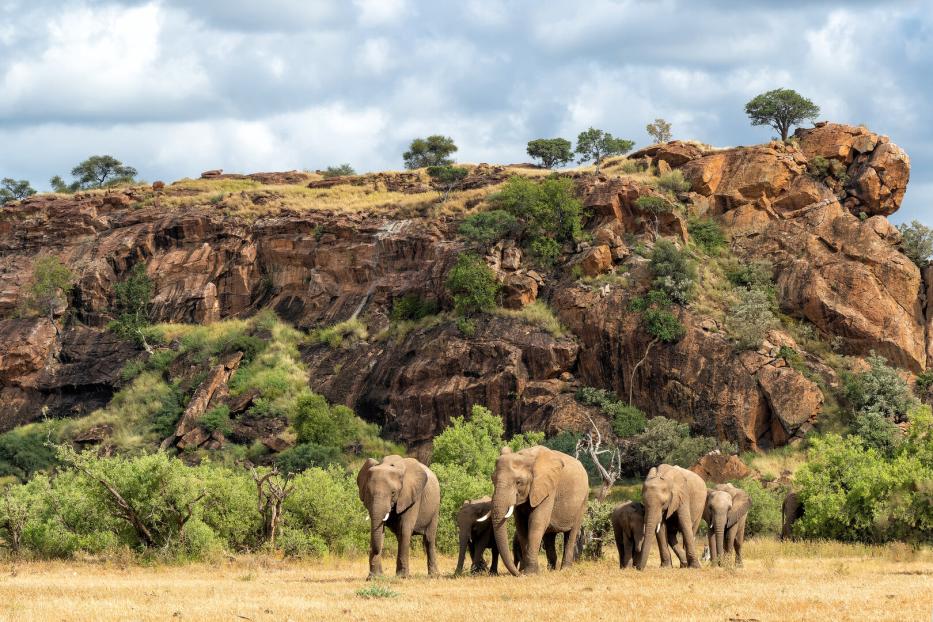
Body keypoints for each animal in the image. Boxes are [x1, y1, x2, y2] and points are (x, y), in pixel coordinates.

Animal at [484, 445, 589, 576]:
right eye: (493, 479)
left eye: (519, 482)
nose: (518, 574)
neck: (526, 456)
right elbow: (521, 526)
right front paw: (526, 571)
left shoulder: (548, 489)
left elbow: (536, 522)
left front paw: (530, 573)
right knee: (549, 536)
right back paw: (551, 570)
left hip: (583, 501)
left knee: (571, 534)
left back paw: (565, 570)